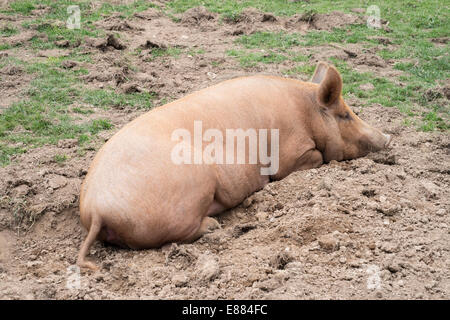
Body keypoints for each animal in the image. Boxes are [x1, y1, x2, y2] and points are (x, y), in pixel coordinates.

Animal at [77, 60, 390, 270]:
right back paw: (214, 225)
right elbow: (313, 160)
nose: (388, 137)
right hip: (193, 187)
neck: (306, 113)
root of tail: (96, 210)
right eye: (345, 115)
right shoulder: (289, 154)